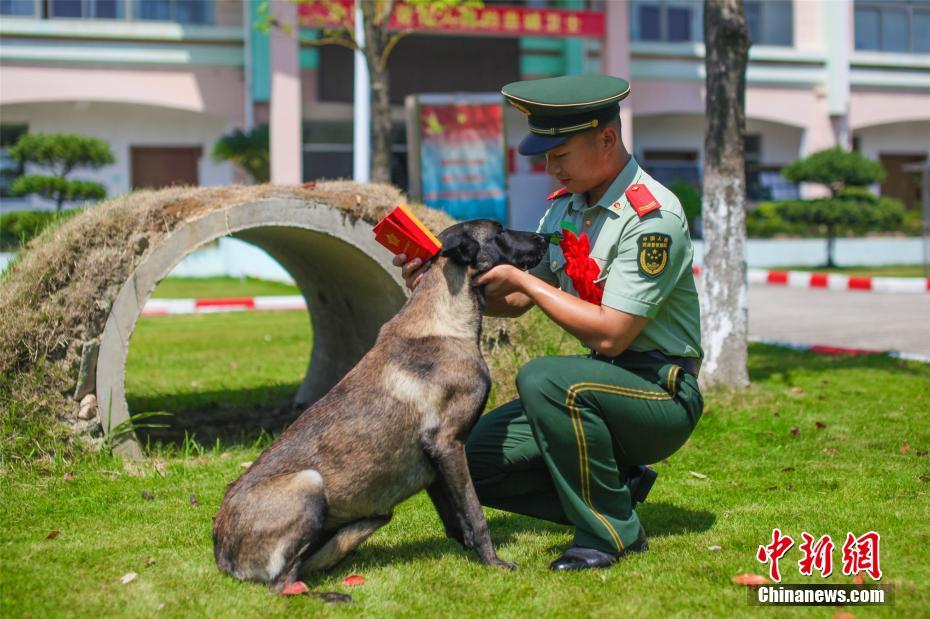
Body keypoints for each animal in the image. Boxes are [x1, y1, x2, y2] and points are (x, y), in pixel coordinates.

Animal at [213, 218, 548, 592]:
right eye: (499, 232)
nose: (545, 237)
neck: (444, 320)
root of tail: (220, 552)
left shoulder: (435, 465)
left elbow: (456, 521)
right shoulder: (448, 445)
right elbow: (474, 515)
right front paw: (494, 563)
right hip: (308, 482)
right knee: (283, 583)